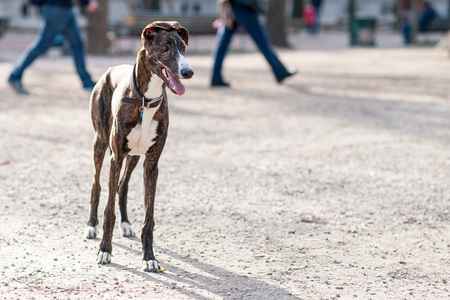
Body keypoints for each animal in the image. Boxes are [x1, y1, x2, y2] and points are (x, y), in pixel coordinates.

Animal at [84, 21, 193, 272]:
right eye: (165, 47)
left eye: (183, 47)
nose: (188, 72)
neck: (145, 100)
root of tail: (111, 68)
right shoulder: (115, 157)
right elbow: (108, 210)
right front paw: (104, 250)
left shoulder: (152, 163)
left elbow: (148, 217)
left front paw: (149, 257)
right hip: (101, 143)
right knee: (97, 186)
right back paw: (91, 226)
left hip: (133, 155)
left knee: (122, 187)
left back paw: (125, 224)